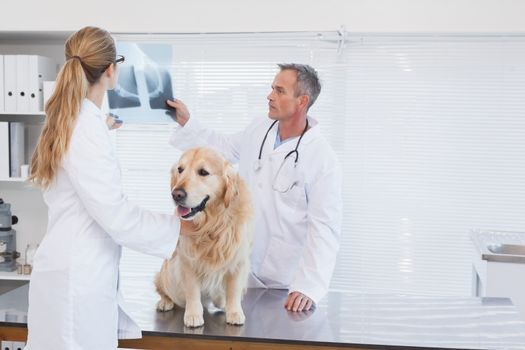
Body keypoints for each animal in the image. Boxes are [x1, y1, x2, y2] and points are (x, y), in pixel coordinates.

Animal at [155, 147, 253, 328]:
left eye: (203, 172)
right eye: (180, 169)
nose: (176, 194)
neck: (213, 222)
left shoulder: (239, 261)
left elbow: (234, 290)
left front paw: (234, 312)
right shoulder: (187, 261)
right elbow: (192, 291)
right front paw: (193, 315)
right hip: (166, 274)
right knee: (163, 290)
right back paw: (165, 301)